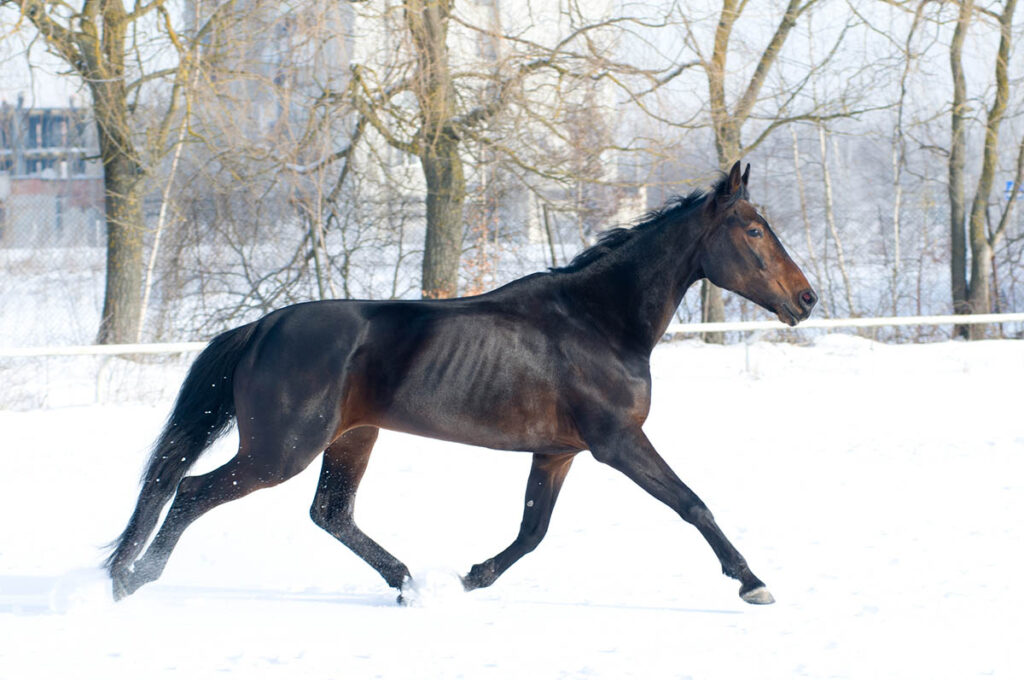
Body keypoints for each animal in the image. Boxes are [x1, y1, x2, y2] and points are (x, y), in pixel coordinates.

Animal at [106, 161, 816, 605]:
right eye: (754, 229)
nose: (806, 299)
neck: (597, 321)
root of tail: (261, 327)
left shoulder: (556, 452)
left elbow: (532, 532)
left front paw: (472, 579)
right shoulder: (618, 443)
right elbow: (693, 504)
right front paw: (752, 582)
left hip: (351, 439)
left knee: (329, 512)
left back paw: (411, 585)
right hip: (280, 450)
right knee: (193, 493)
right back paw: (131, 580)